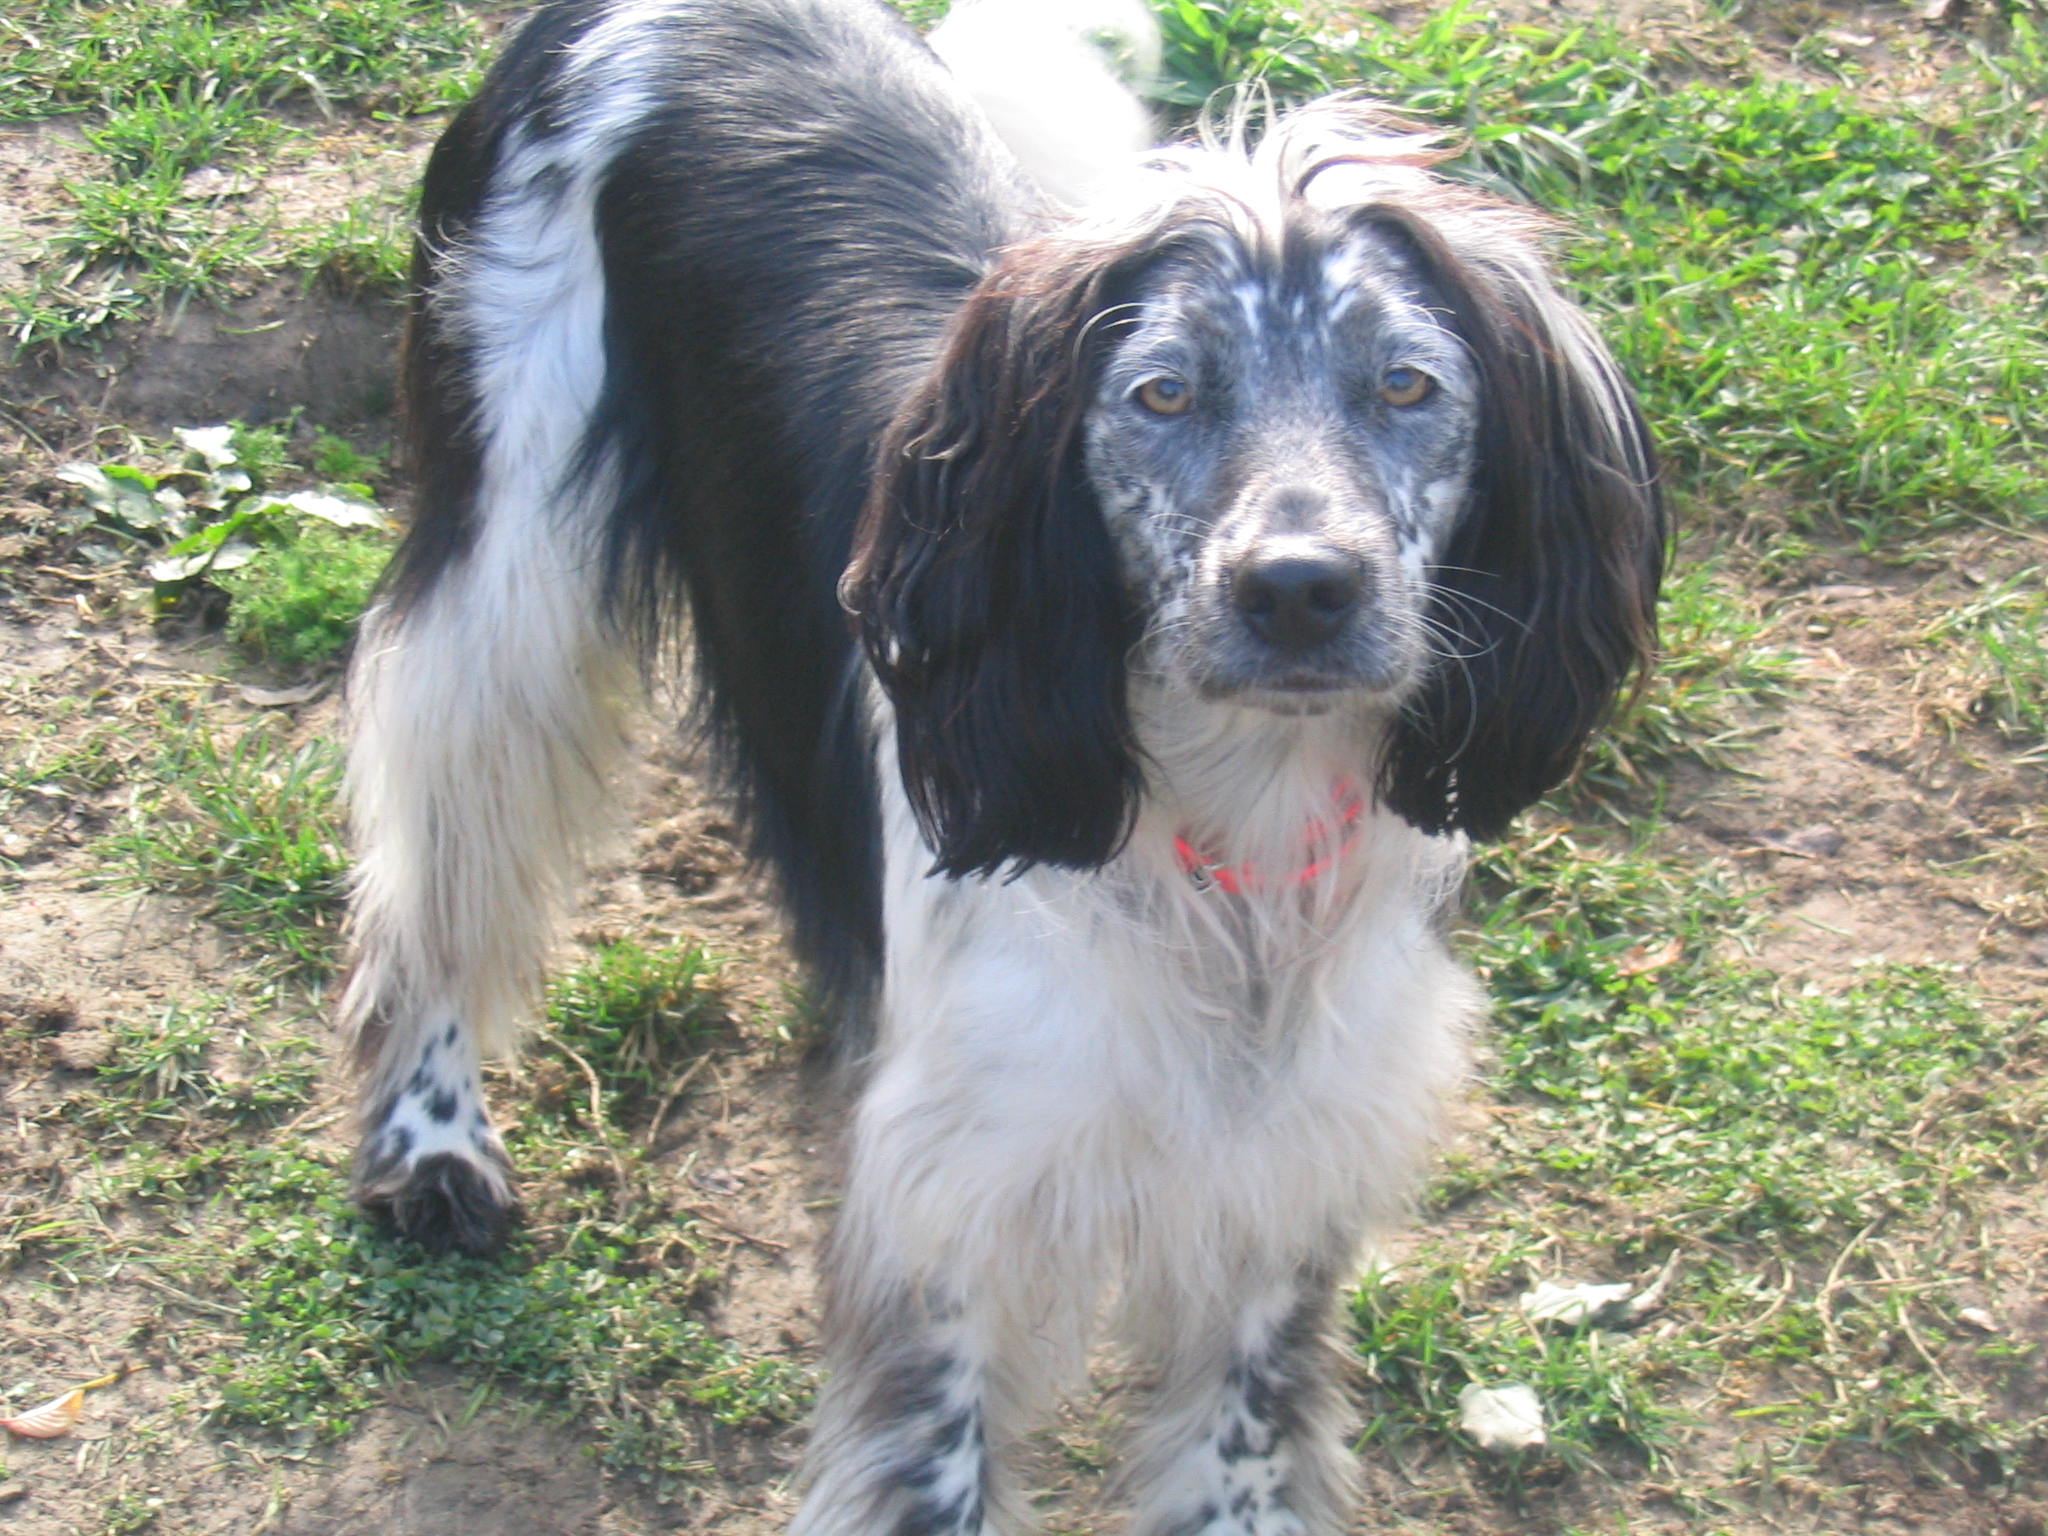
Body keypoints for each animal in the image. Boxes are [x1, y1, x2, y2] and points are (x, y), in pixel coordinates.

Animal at [339, 0, 1662, 1531]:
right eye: (1161, 392)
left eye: (1406, 384)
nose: (1298, 591)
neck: (1229, 845)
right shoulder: (950, 1227)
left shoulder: (1279, 1195)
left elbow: (1240, 1451)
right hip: (504, 588)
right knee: (438, 869)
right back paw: (431, 1142)